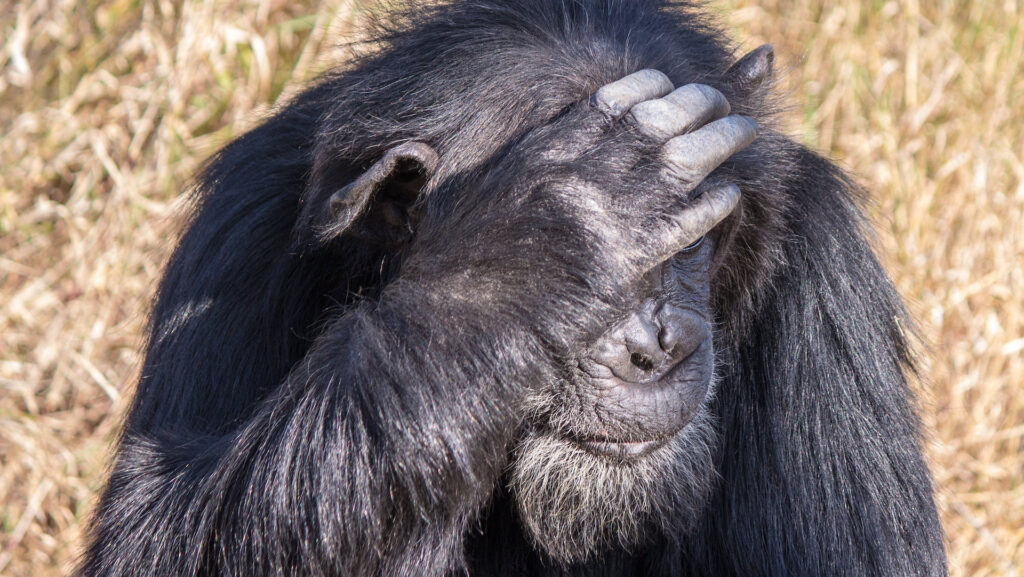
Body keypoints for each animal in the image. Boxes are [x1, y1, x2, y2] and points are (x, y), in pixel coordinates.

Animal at [77, 1, 942, 577]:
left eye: (694, 231)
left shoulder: (824, 271)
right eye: (649, 231)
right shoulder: (240, 230)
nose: (657, 345)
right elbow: (150, 530)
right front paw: (549, 236)